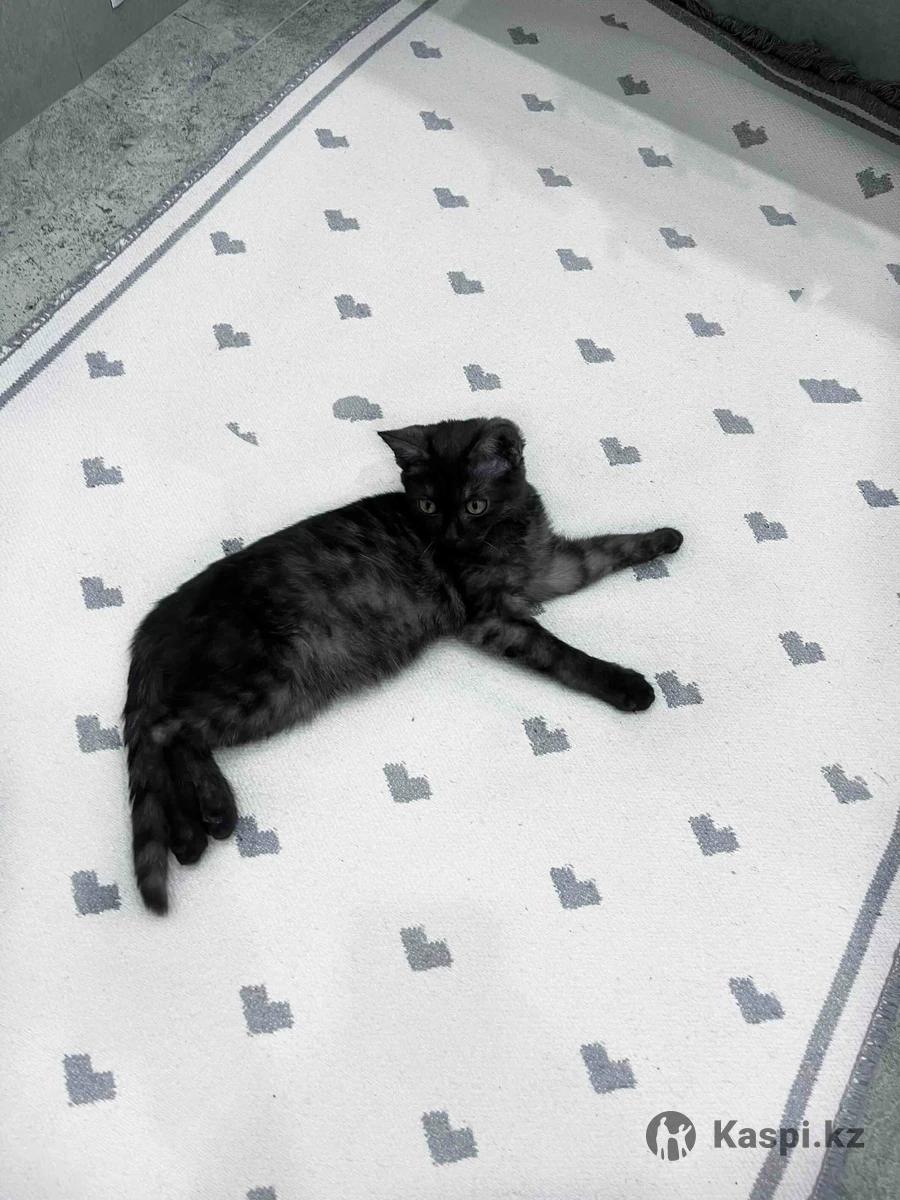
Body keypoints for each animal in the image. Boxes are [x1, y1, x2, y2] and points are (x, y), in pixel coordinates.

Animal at [124, 417, 682, 913]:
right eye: (429, 505)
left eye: (474, 505)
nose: (452, 535)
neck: (507, 535)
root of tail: (158, 617)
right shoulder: (492, 619)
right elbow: (561, 654)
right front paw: (626, 685)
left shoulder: (550, 567)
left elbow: (604, 550)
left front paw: (664, 537)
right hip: (272, 680)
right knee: (162, 728)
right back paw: (198, 826)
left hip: (281, 697)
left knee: (182, 734)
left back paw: (201, 824)